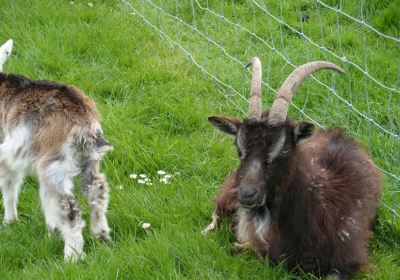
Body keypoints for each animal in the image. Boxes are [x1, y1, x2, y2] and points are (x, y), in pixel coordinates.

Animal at [0, 38, 112, 260]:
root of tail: (85, 125)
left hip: (55, 164)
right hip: (87, 160)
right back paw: (101, 236)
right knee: (97, 191)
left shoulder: (7, 156)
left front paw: (9, 223)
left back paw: (72, 257)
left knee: (69, 208)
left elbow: (9, 188)